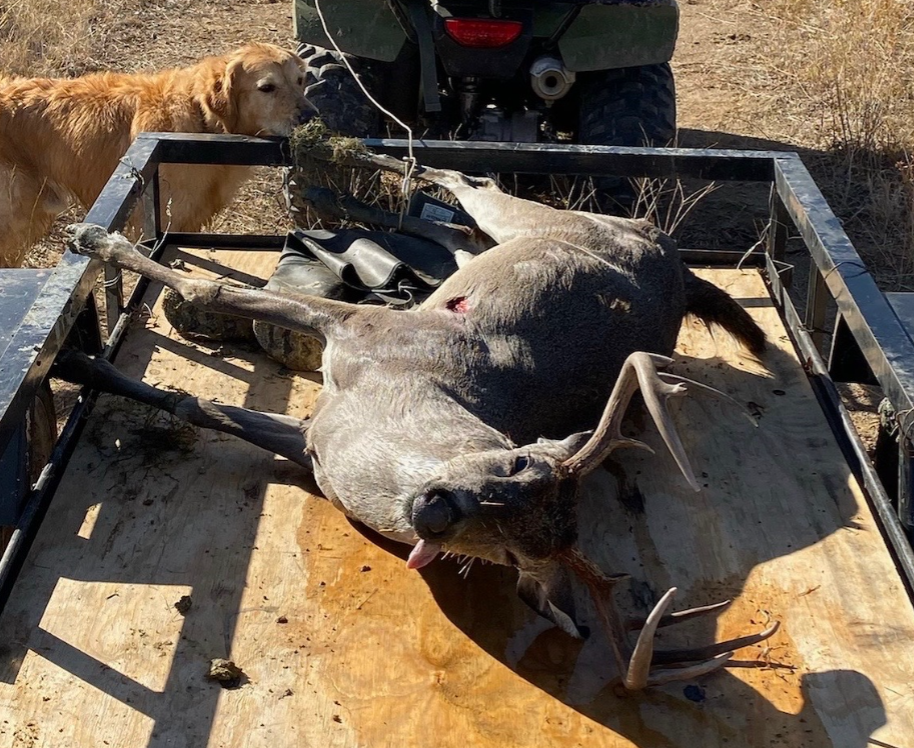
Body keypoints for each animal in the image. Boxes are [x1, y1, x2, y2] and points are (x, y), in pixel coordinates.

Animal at [60, 148, 776, 691]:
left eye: (507, 555)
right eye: (517, 460)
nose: (435, 508)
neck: (401, 401)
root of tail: (674, 258)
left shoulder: (314, 440)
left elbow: (199, 401)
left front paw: (78, 358)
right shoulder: (367, 326)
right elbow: (209, 290)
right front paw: (98, 242)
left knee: (460, 227)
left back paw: (338, 185)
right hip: (542, 223)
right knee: (470, 187)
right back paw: (344, 172)